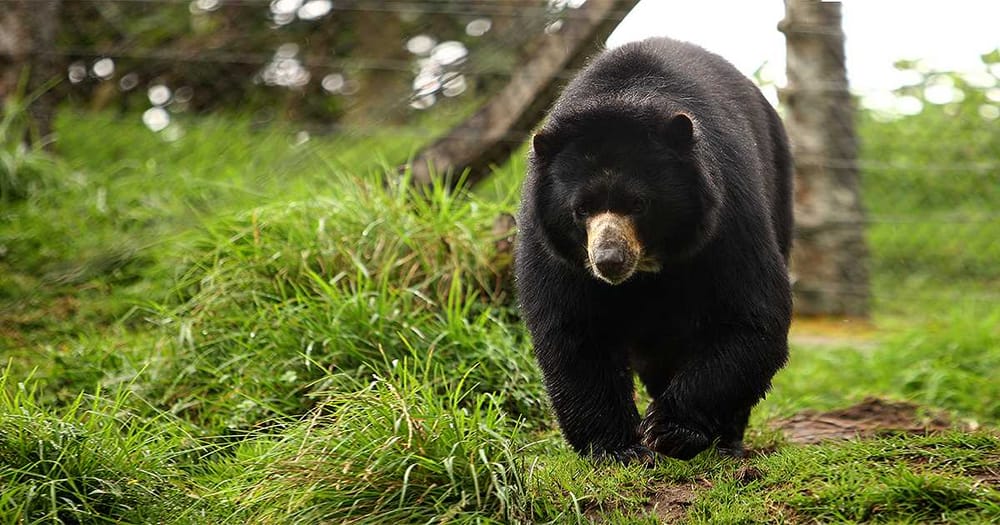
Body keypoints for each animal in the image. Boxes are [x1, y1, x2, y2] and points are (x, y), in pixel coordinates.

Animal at [514, 37, 793, 463]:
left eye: (638, 204)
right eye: (582, 209)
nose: (609, 261)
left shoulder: (728, 217)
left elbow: (751, 315)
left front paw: (667, 431)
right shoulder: (553, 246)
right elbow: (574, 329)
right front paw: (617, 448)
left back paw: (728, 442)